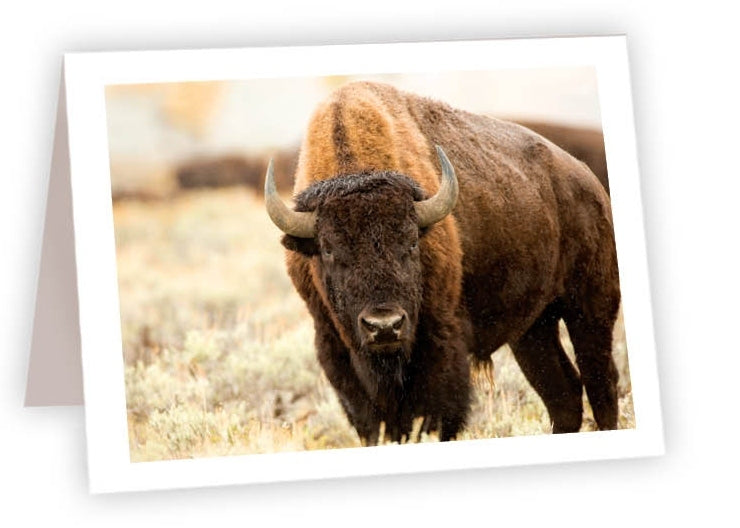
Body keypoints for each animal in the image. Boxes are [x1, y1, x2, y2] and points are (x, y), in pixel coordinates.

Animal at [265, 81, 621, 444]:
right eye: (328, 249)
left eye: (411, 242)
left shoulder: (439, 345)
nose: (384, 326)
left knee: (600, 381)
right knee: (563, 393)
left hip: (589, 308)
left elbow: (434, 417)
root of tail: (587, 181)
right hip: (533, 330)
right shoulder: (335, 348)